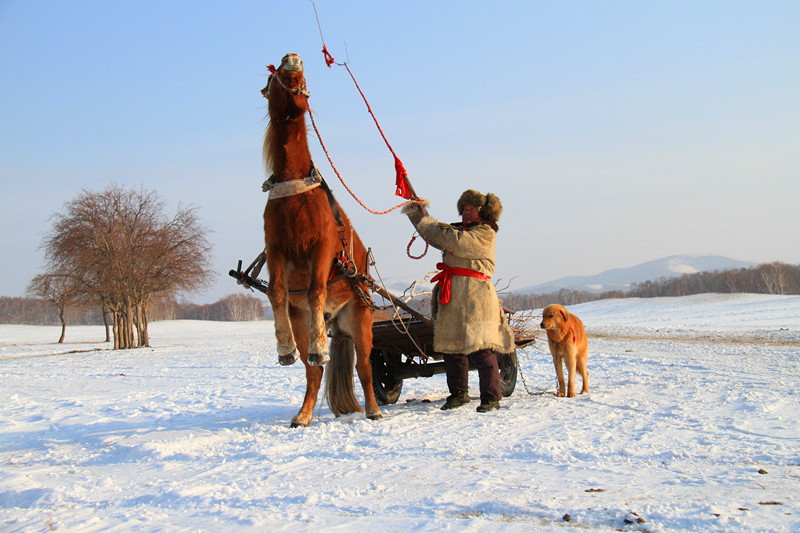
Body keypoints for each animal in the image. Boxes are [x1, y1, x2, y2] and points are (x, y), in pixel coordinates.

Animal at [260, 53, 382, 427]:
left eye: (303, 77)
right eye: (271, 80)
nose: (291, 58)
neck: (294, 192)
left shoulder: (321, 247)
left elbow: (315, 289)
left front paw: (318, 348)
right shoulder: (276, 249)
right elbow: (277, 291)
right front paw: (285, 349)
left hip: (360, 319)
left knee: (365, 368)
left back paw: (373, 409)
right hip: (309, 320)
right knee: (313, 374)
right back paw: (303, 415)